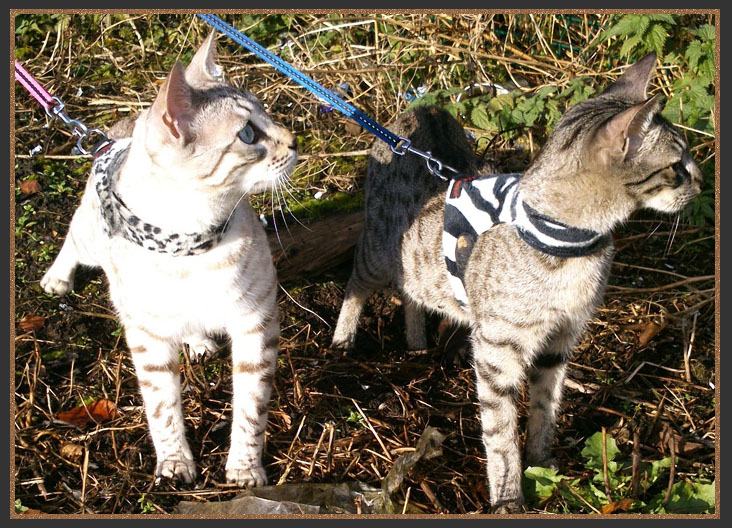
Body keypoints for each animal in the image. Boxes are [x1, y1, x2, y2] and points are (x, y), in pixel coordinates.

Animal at [332, 53, 704, 512]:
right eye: (677, 166)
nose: (702, 182)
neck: (571, 244)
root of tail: (424, 108)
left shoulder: (561, 340)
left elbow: (547, 407)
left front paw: (542, 461)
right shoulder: (497, 352)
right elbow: (499, 432)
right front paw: (508, 495)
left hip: (413, 269)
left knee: (412, 294)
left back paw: (417, 342)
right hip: (378, 251)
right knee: (357, 282)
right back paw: (343, 340)